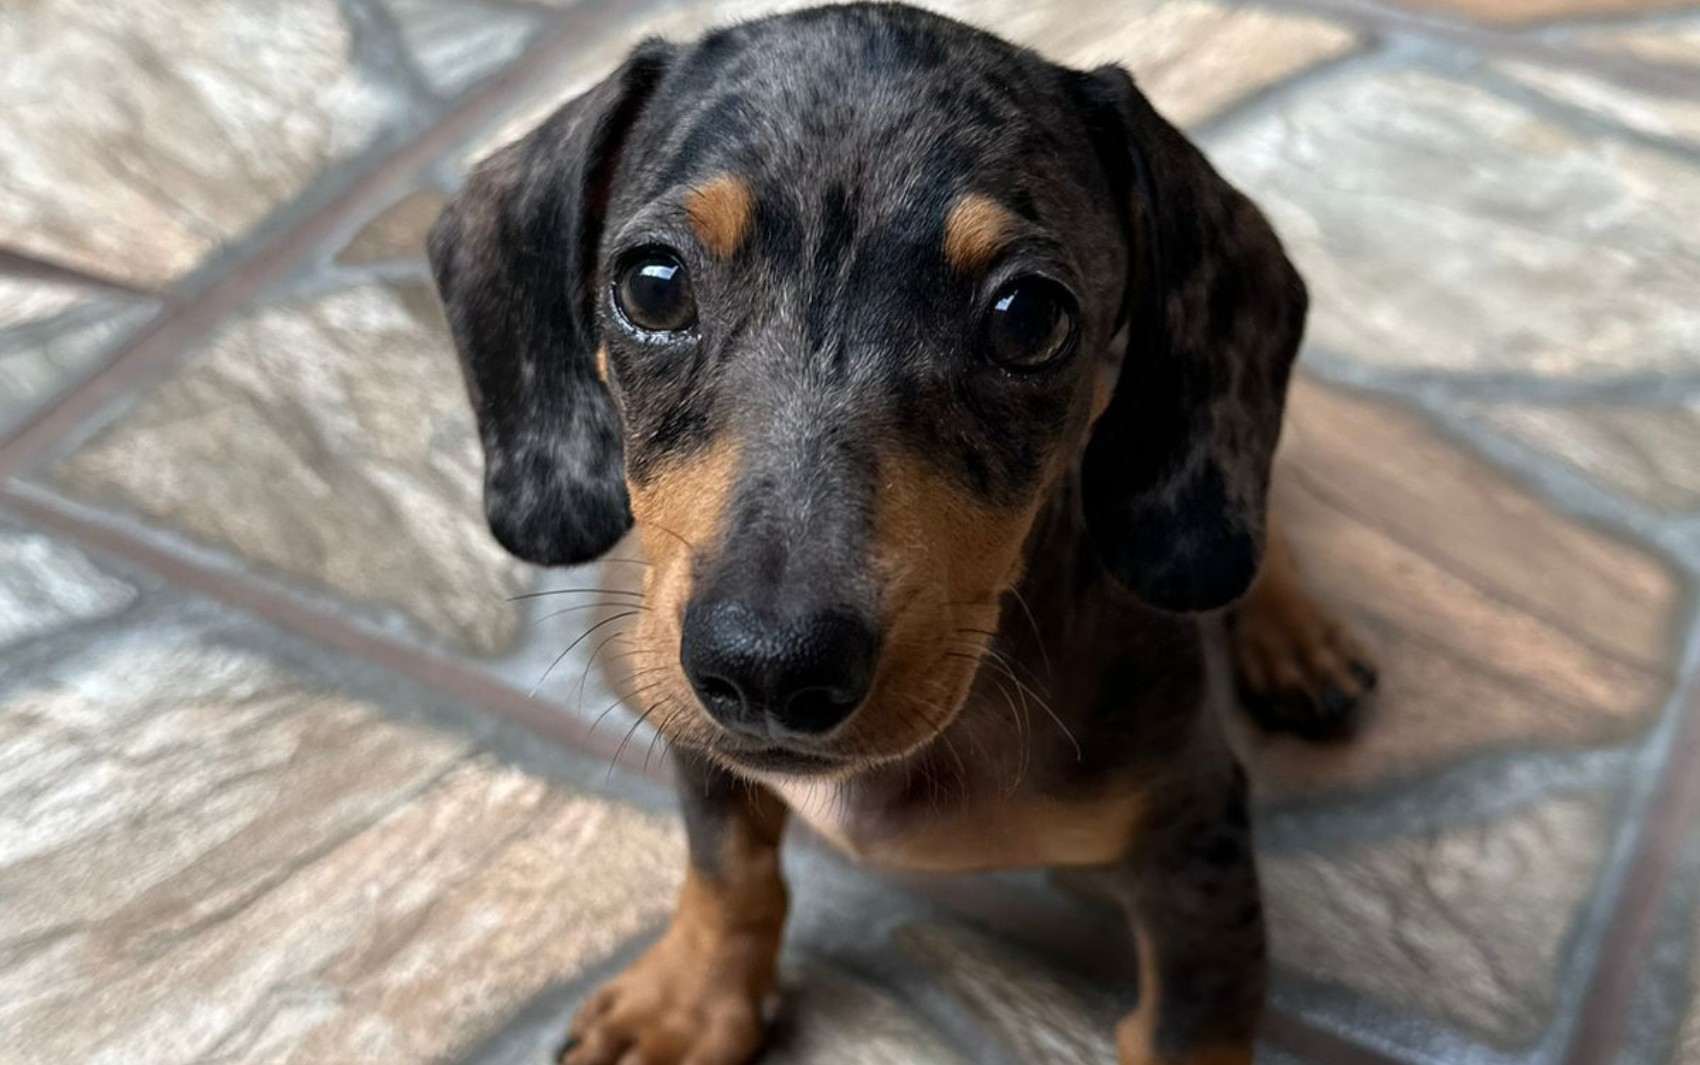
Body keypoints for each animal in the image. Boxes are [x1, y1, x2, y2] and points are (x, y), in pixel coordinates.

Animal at [428, 4, 1380, 1054]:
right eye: (653, 285)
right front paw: (689, 1002)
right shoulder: (689, 728)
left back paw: (1297, 640)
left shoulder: (1196, 837)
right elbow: (728, 868)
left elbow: (1194, 1021)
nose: (769, 670)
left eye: (1028, 314)